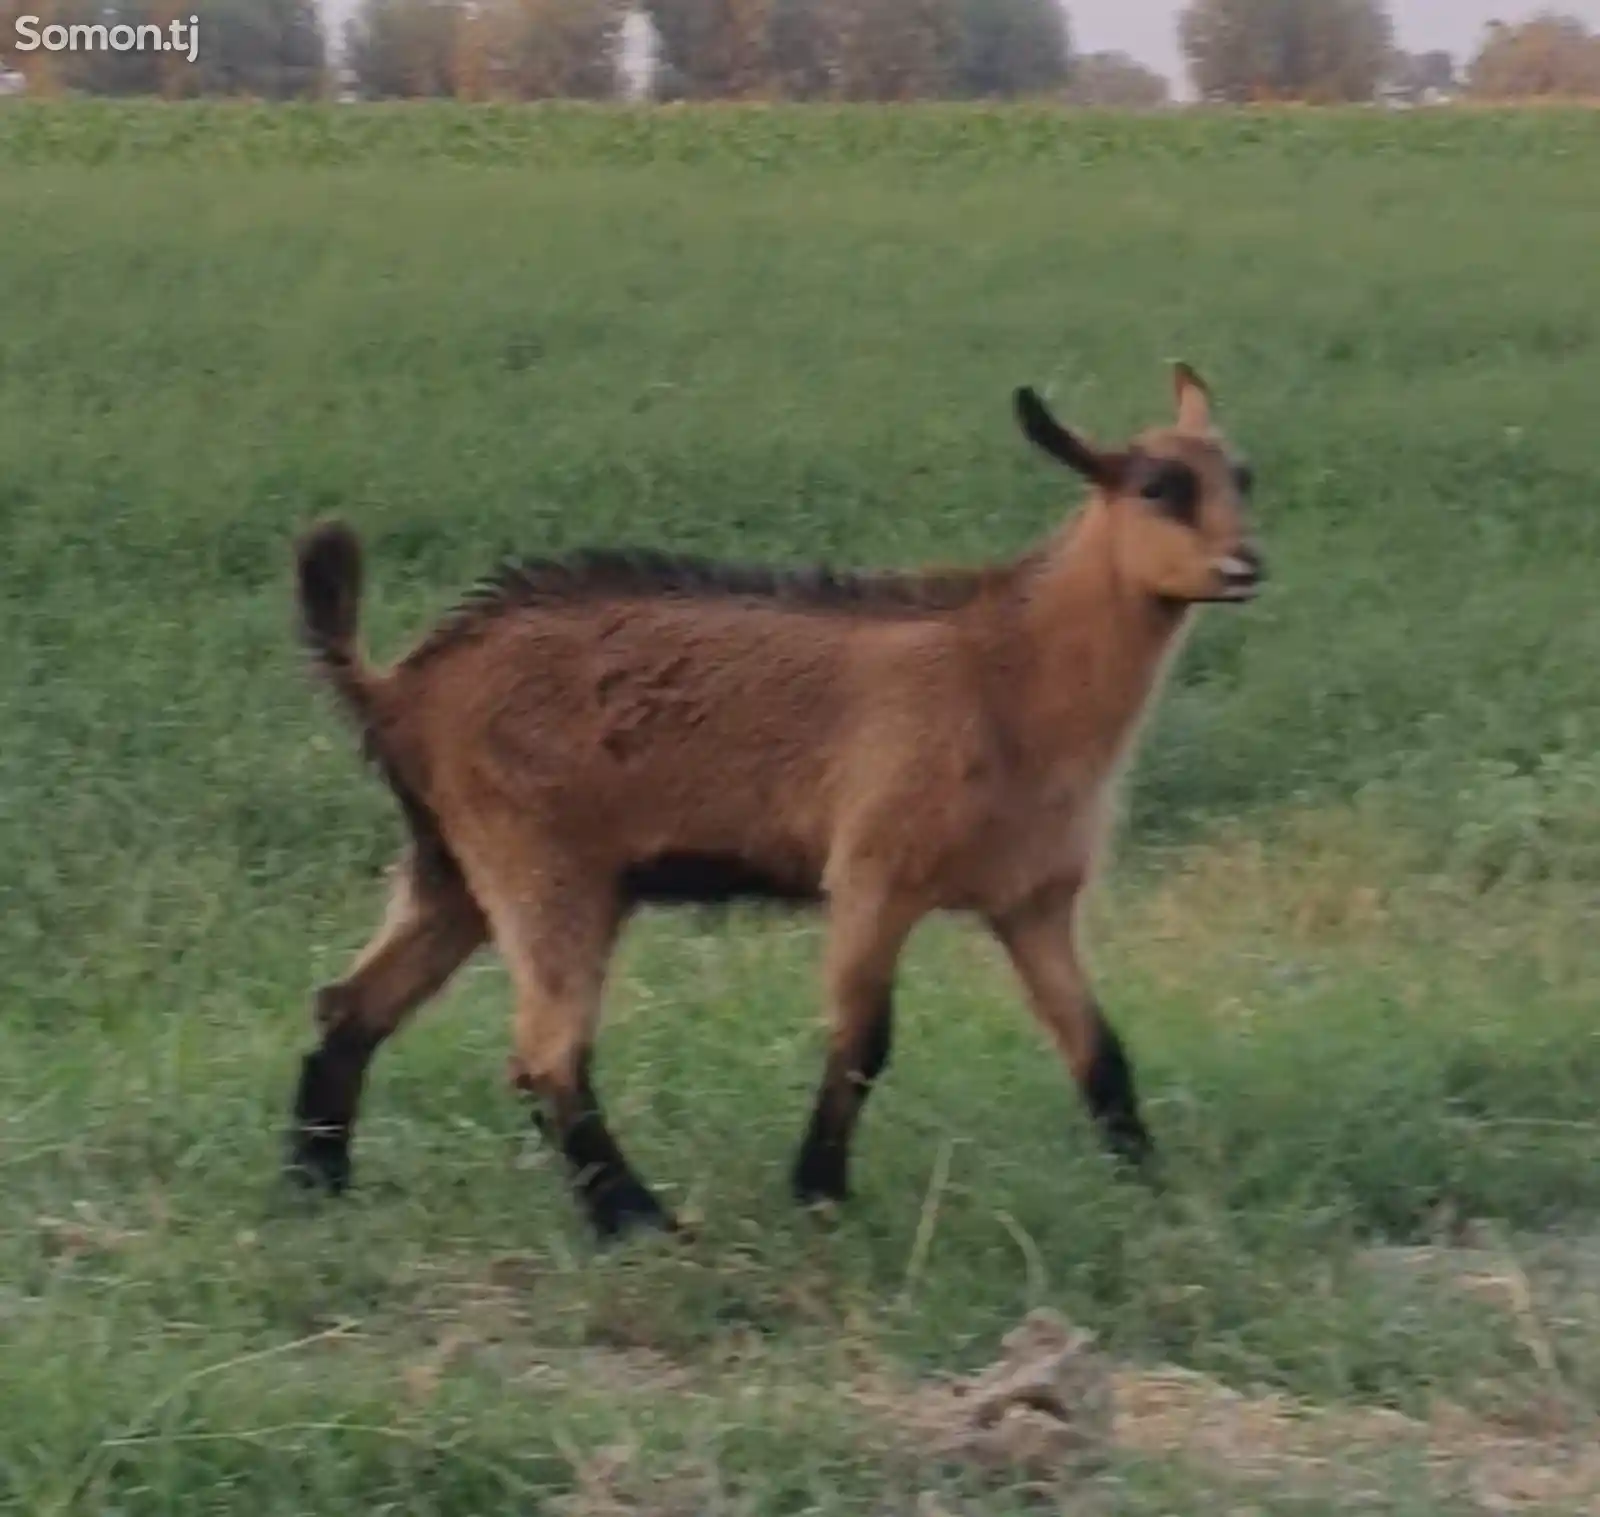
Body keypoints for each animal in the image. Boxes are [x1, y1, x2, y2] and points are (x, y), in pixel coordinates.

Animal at [288, 361, 1260, 1235]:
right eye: (1158, 487)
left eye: (1243, 476)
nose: (1245, 563)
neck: (1006, 671)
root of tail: (398, 686)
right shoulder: (873, 873)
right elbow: (861, 1041)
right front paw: (818, 1193)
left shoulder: (1033, 900)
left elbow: (1098, 1045)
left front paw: (1151, 1183)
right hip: (541, 864)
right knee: (546, 1055)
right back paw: (637, 1220)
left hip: (453, 868)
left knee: (351, 1004)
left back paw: (317, 1185)